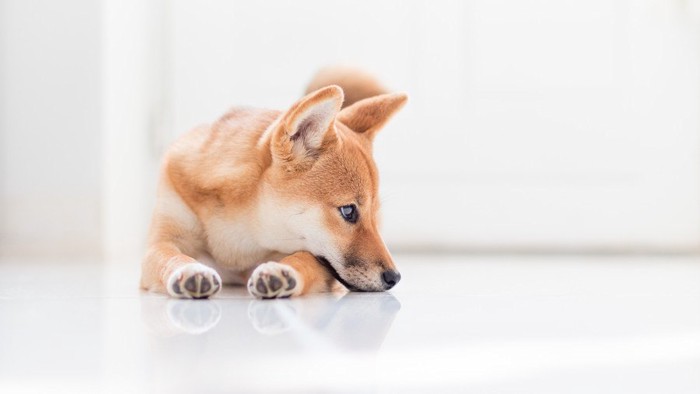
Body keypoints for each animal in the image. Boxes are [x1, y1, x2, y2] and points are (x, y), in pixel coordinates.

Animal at [139, 67, 408, 298]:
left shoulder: (316, 263)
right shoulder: (161, 243)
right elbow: (169, 257)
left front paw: (282, 271)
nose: (394, 277)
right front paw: (190, 270)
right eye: (348, 211)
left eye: (372, 212)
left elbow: (302, 260)